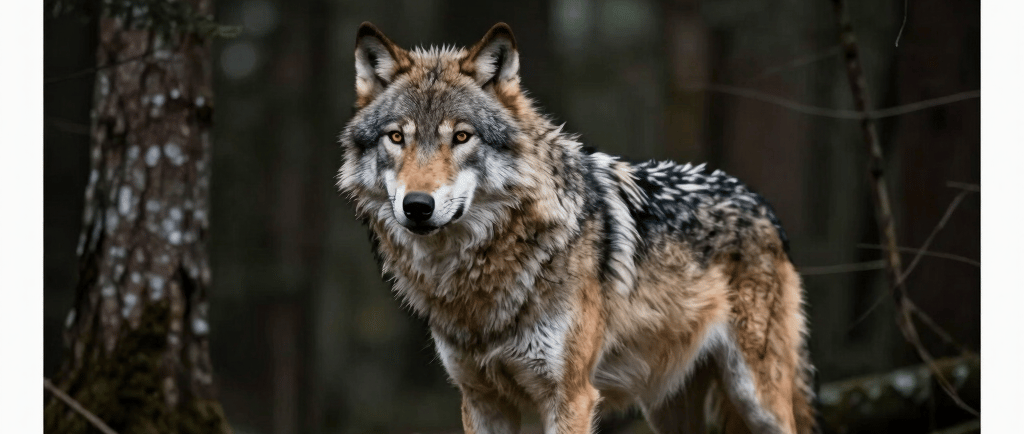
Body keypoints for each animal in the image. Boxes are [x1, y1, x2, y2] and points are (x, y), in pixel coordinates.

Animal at [337, 22, 816, 434]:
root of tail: (760, 203)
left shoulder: (570, 397)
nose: (418, 206)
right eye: (396, 138)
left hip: (757, 397)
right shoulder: (481, 400)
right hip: (667, 408)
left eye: (461, 137)